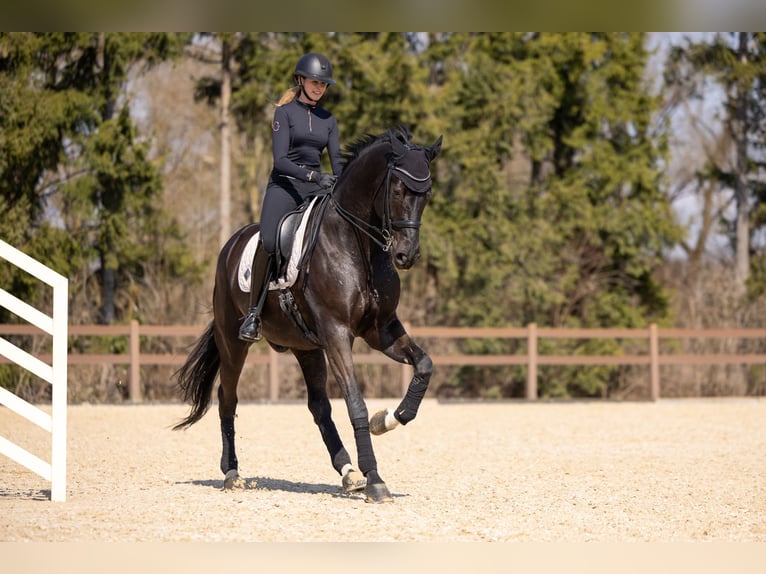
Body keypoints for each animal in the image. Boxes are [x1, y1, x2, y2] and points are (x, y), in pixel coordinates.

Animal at [173, 127, 443, 503]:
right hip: (233, 341)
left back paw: (348, 473)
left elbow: (424, 365)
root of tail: (231, 244)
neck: (357, 244)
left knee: (319, 407)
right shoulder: (337, 333)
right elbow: (355, 403)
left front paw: (389, 419)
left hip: (307, 347)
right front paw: (375, 478)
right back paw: (231, 473)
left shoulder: (381, 330)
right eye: (398, 189)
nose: (406, 255)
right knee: (228, 398)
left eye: (426, 192)